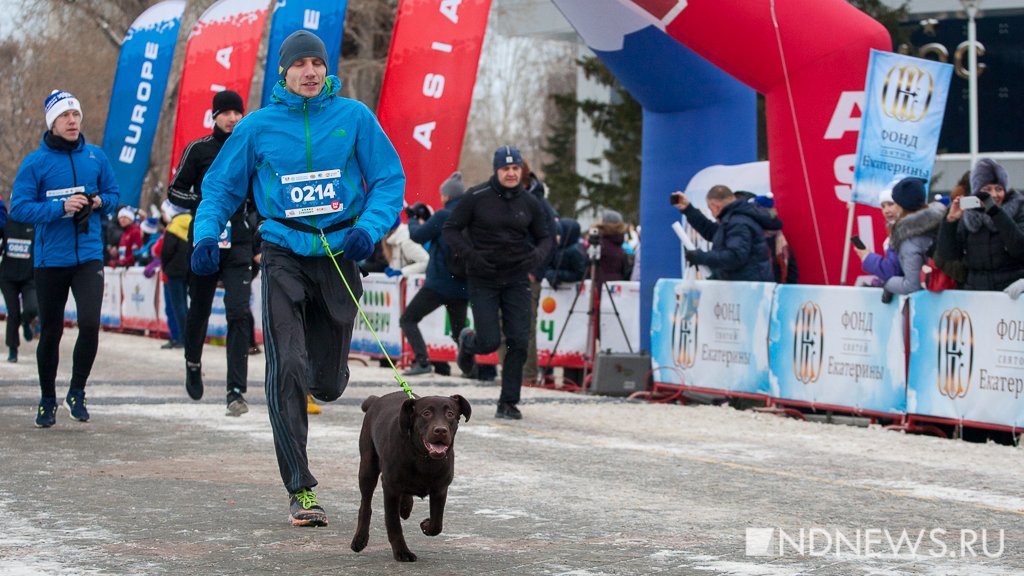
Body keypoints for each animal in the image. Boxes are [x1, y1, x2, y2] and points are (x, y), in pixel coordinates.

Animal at [348, 389, 468, 561]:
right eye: (426, 413)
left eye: (450, 414)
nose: (440, 430)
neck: (423, 457)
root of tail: (376, 400)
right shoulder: (390, 487)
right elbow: (393, 523)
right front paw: (402, 552)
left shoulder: (440, 489)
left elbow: (437, 522)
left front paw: (426, 525)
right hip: (367, 467)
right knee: (365, 505)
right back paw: (360, 538)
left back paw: (405, 507)